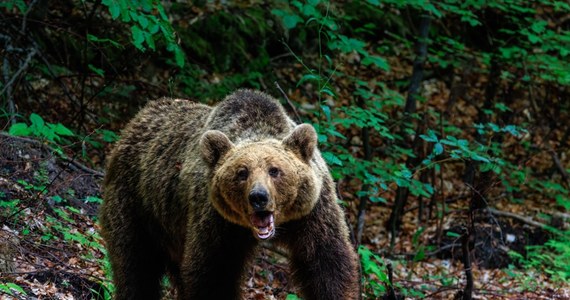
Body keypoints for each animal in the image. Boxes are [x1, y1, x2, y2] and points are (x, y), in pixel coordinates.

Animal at [97, 89, 356, 300]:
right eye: (242, 172)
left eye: (275, 170)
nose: (258, 197)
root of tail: (136, 120)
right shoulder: (217, 221)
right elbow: (213, 274)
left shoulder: (312, 212)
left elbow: (327, 264)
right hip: (136, 204)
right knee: (135, 264)